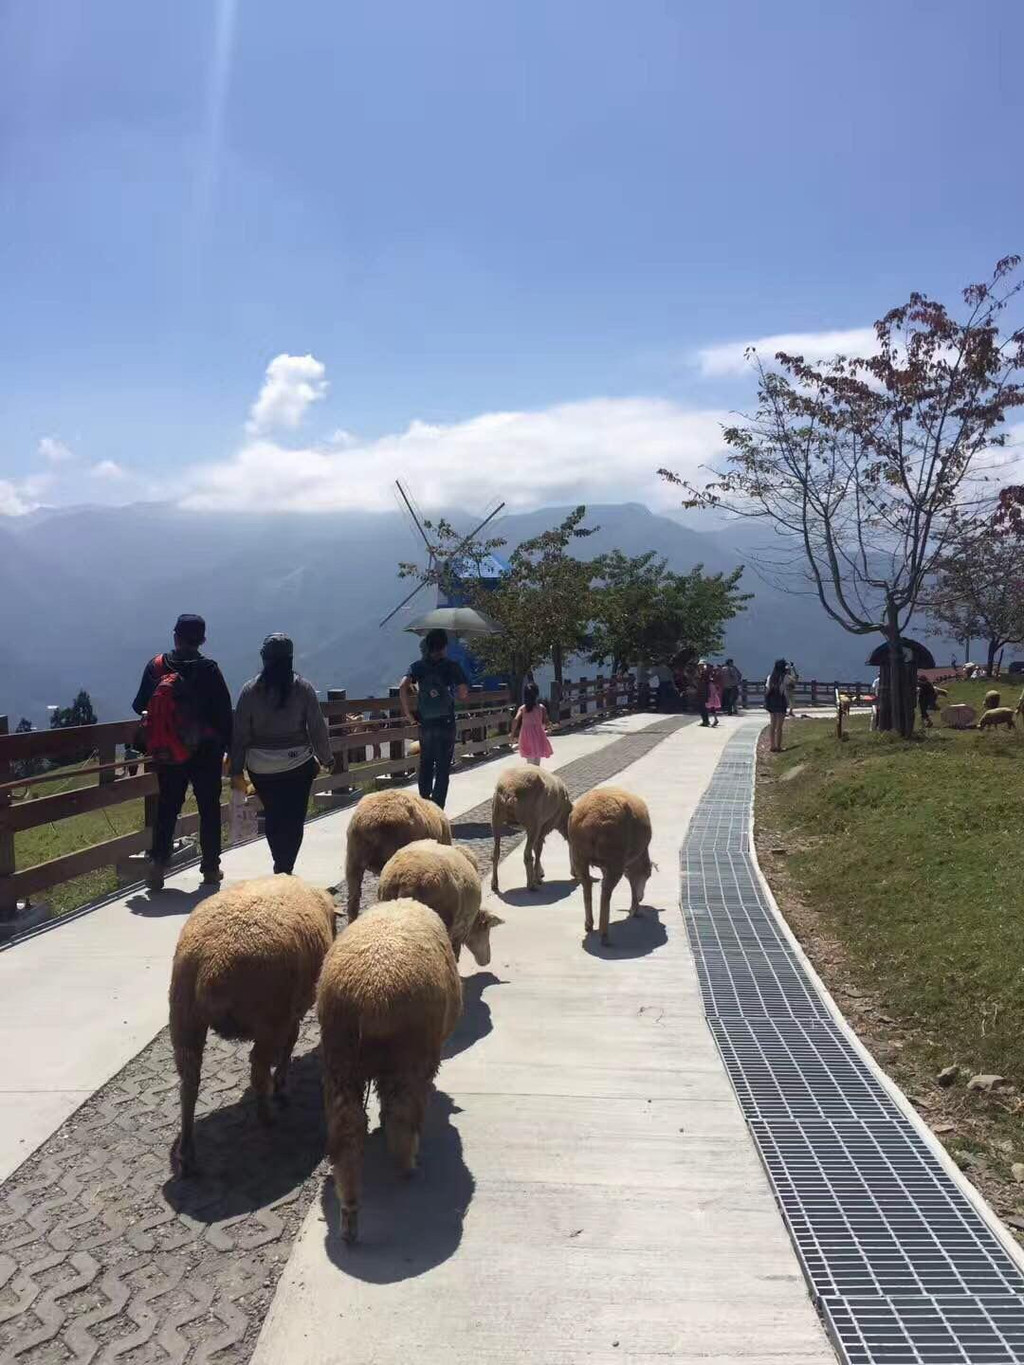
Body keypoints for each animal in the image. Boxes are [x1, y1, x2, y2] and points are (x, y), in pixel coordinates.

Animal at [316, 900, 461, 1244]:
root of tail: (371, 996)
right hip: (410, 1057)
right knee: (403, 1116)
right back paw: (407, 1164)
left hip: (340, 1058)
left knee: (346, 1130)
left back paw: (349, 1215)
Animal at [573, 786, 652, 944]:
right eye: (648, 875)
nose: (642, 898)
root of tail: (592, 820)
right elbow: (633, 881)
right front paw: (635, 909)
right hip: (614, 857)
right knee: (606, 892)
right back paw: (604, 935)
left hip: (579, 855)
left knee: (587, 886)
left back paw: (589, 924)